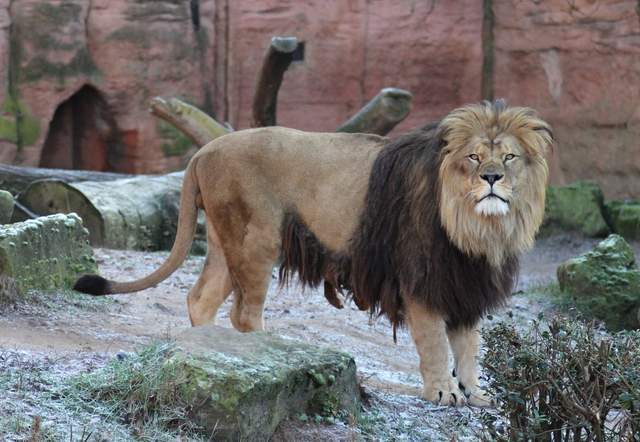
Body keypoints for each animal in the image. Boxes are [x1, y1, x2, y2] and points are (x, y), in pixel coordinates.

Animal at [75, 99, 552, 408]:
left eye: (509, 157)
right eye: (473, 157)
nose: (491, 177)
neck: (479, 229)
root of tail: (204, 151)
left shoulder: (466, 283)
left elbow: (469, 347)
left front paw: (476, 393)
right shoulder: (421, 279)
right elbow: (437, 343)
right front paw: (444, 393)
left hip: (225, 238)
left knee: (201, 297)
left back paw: (211, 351)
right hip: (258, 236)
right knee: (243, 313)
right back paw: (267, 358)